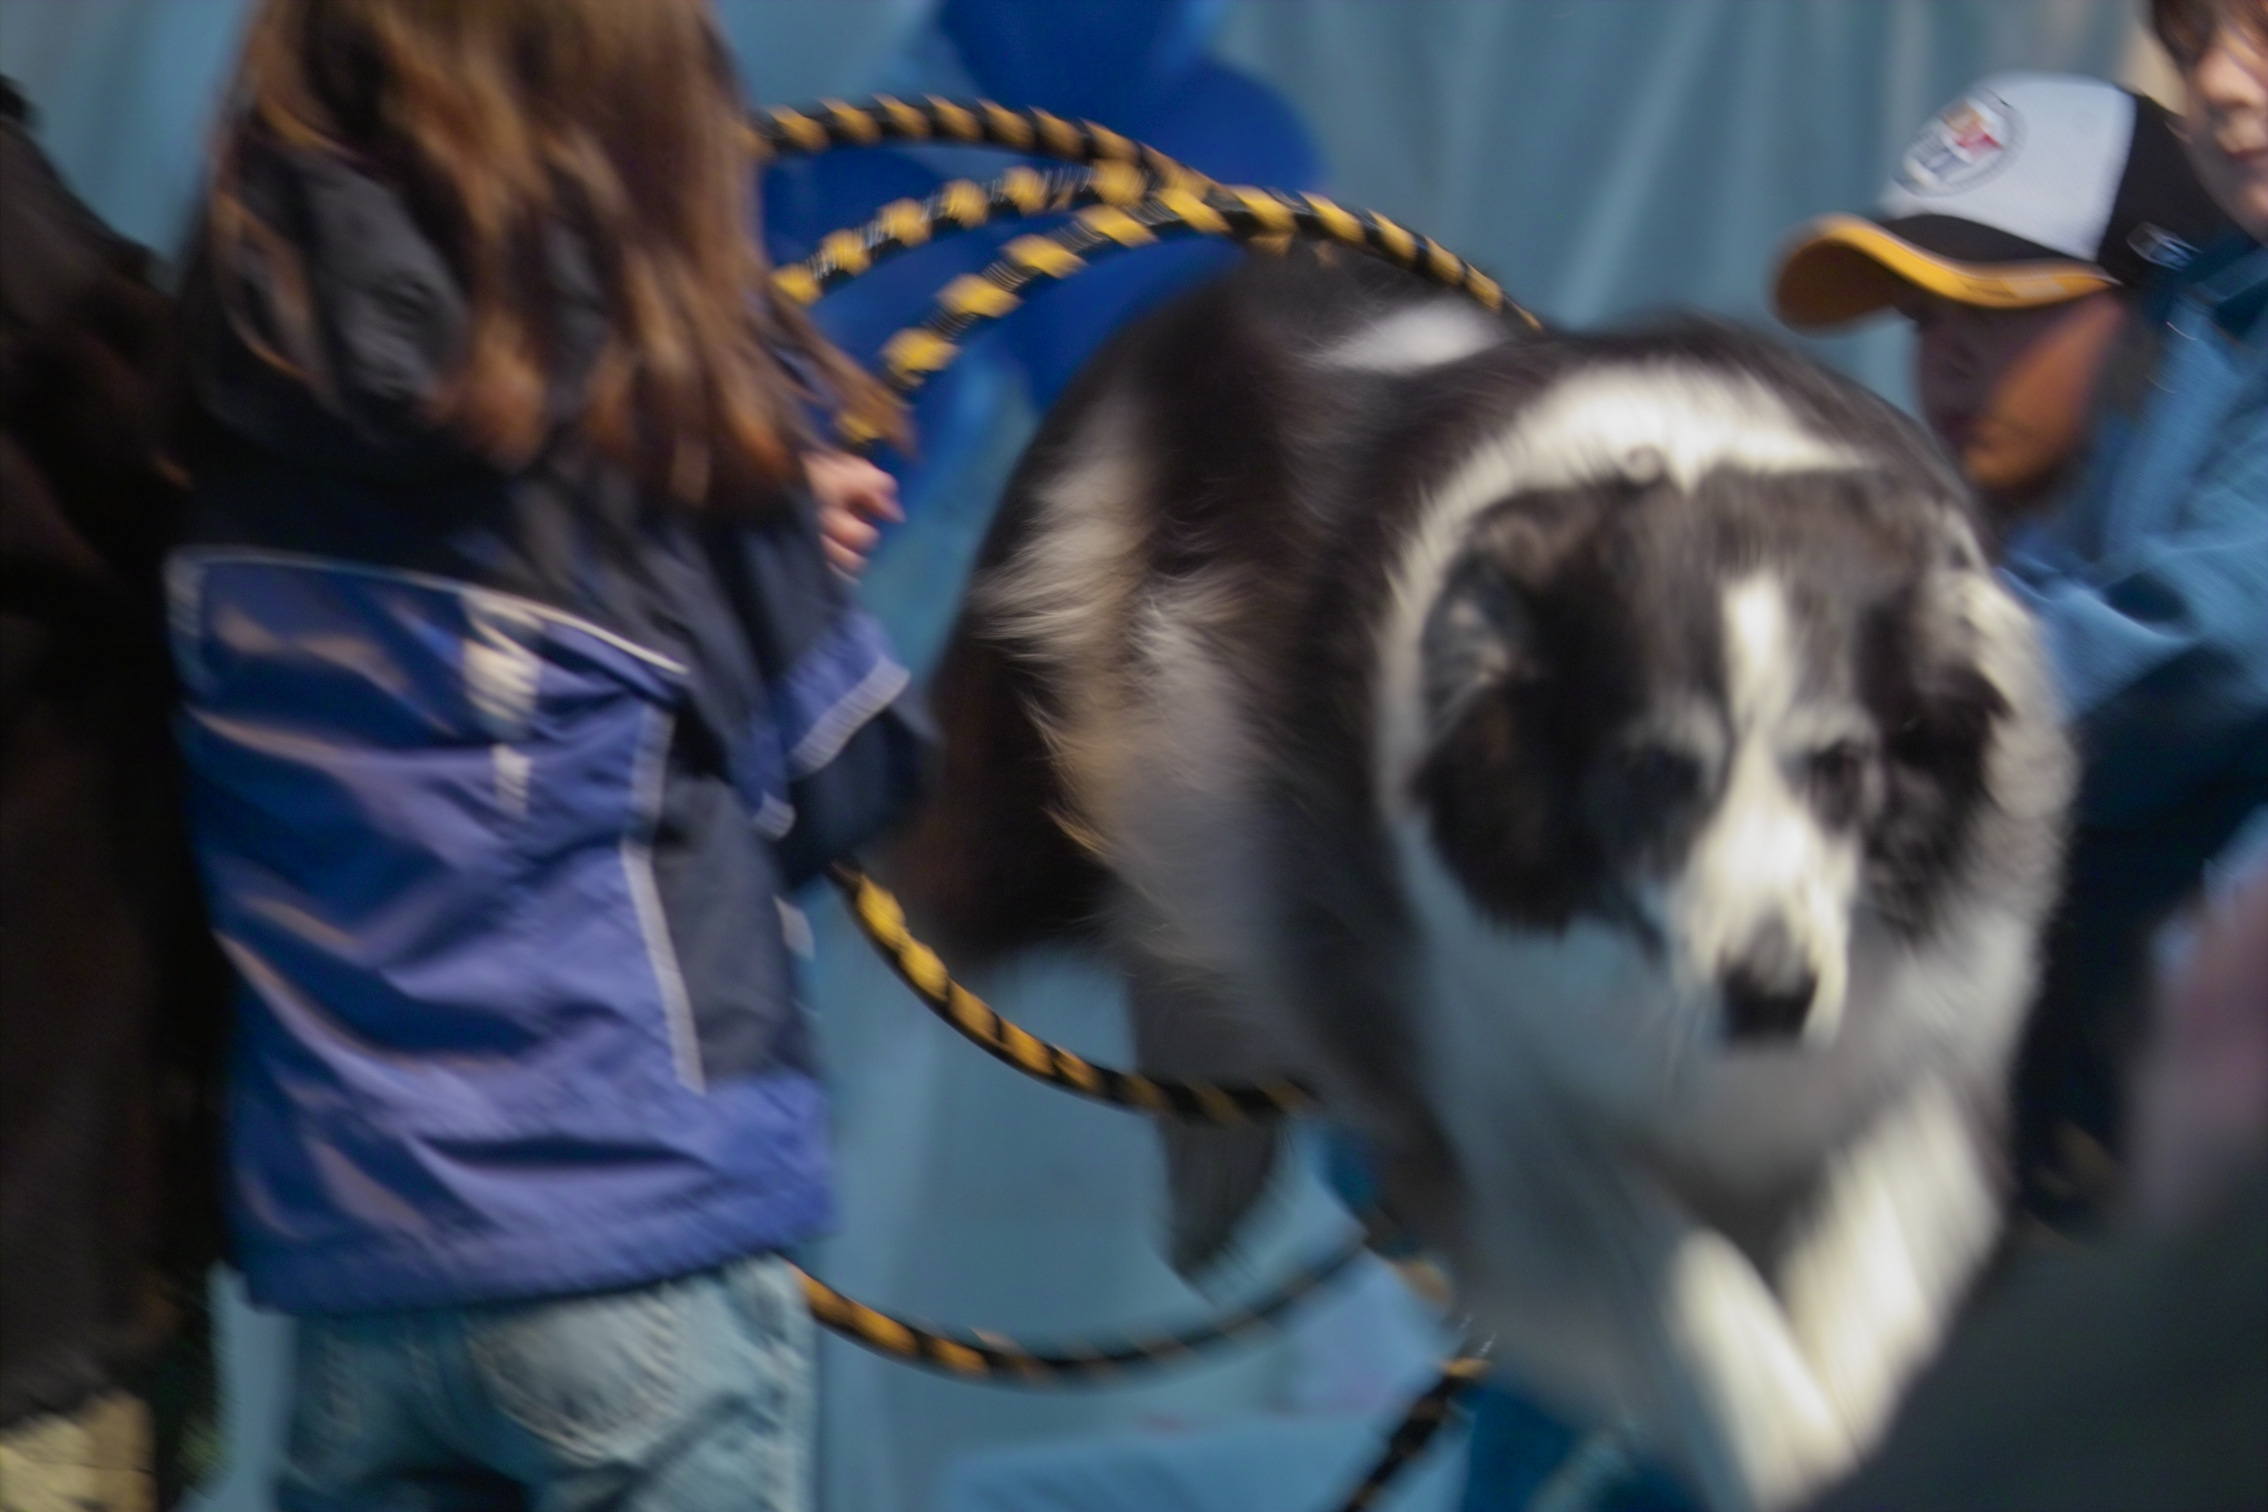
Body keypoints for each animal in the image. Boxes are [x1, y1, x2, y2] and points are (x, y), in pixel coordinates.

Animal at [892, 254, 2071, 1510]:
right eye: (1652, 771)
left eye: (1843, 766)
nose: (1772, 999)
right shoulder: (1503, 1082)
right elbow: (1672, 1269)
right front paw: (1785, 1434)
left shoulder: (1917, 1030)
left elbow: (1876, 1205)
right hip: (1056, 762)